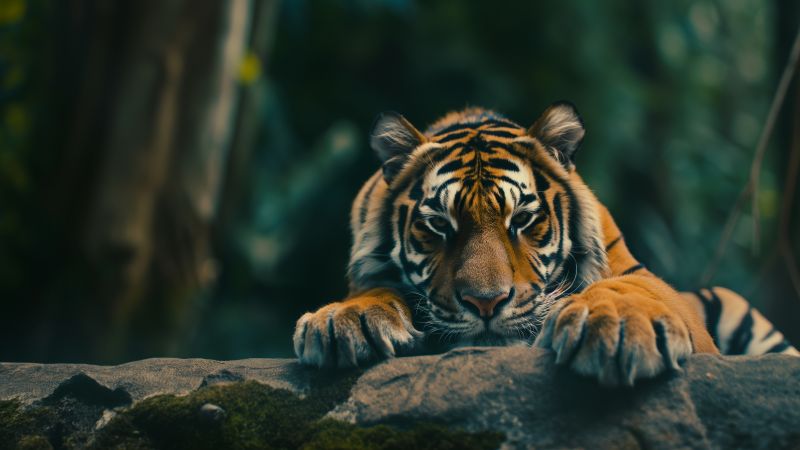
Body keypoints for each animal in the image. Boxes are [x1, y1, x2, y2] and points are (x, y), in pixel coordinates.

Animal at [293, 102, 799, 386]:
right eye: (438, 225)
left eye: (522, 219)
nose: (486, 303)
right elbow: (371, 292)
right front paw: (344, 319)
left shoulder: (638, 275)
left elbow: (630, 290)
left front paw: (617, 327)